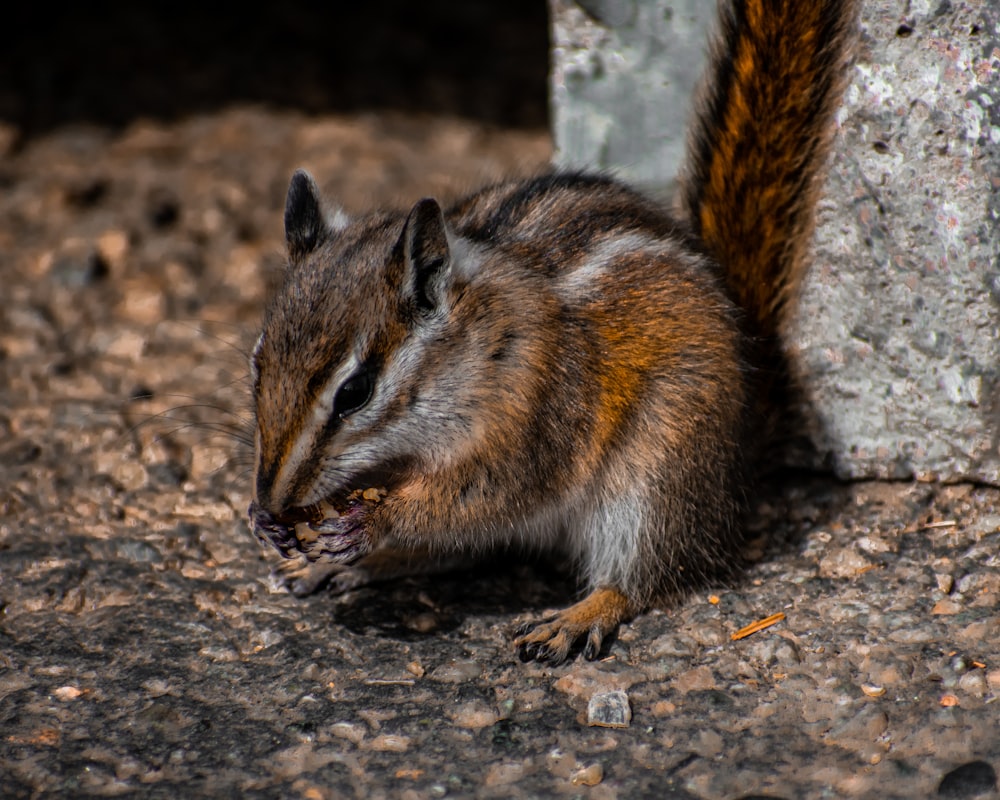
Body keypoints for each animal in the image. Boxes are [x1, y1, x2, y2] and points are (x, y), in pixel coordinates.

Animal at [248, 0, 860, 664]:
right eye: (256, 363)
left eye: (354, 392)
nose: (270, 500)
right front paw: (281, 527)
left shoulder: (540, 411)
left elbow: (484, 495)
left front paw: (369, 523)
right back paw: (350, 565)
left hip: (661, 467)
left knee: (647, 576)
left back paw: (579, 614)